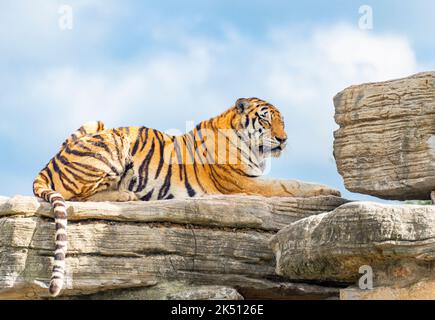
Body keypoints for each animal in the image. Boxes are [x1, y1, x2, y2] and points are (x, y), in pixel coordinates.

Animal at [33, 96, 340, 296]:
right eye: (265, 119)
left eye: (282, 122)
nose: (283, 139)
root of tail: (47, 166)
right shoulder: (246, 182)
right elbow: (289, 185)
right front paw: (328, 190)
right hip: (112, 142)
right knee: (77, 198)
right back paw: (125, 197)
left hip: (94, 123)